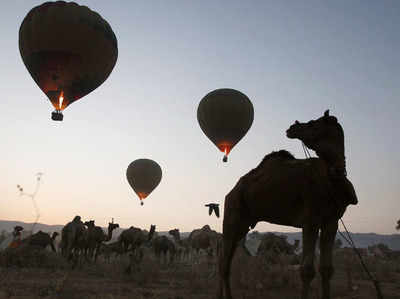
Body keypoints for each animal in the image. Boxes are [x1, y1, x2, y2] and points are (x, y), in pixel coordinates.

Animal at [217, 110, 358, 299]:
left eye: (312, 123)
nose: (292, 128)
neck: (331, 181)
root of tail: (232, 191)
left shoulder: (331, 222)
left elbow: (327, 269)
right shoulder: (310, 220)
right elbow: (307, 270)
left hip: (243, 223)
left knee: (226, 259)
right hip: (233, 211)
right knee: (224, 262)